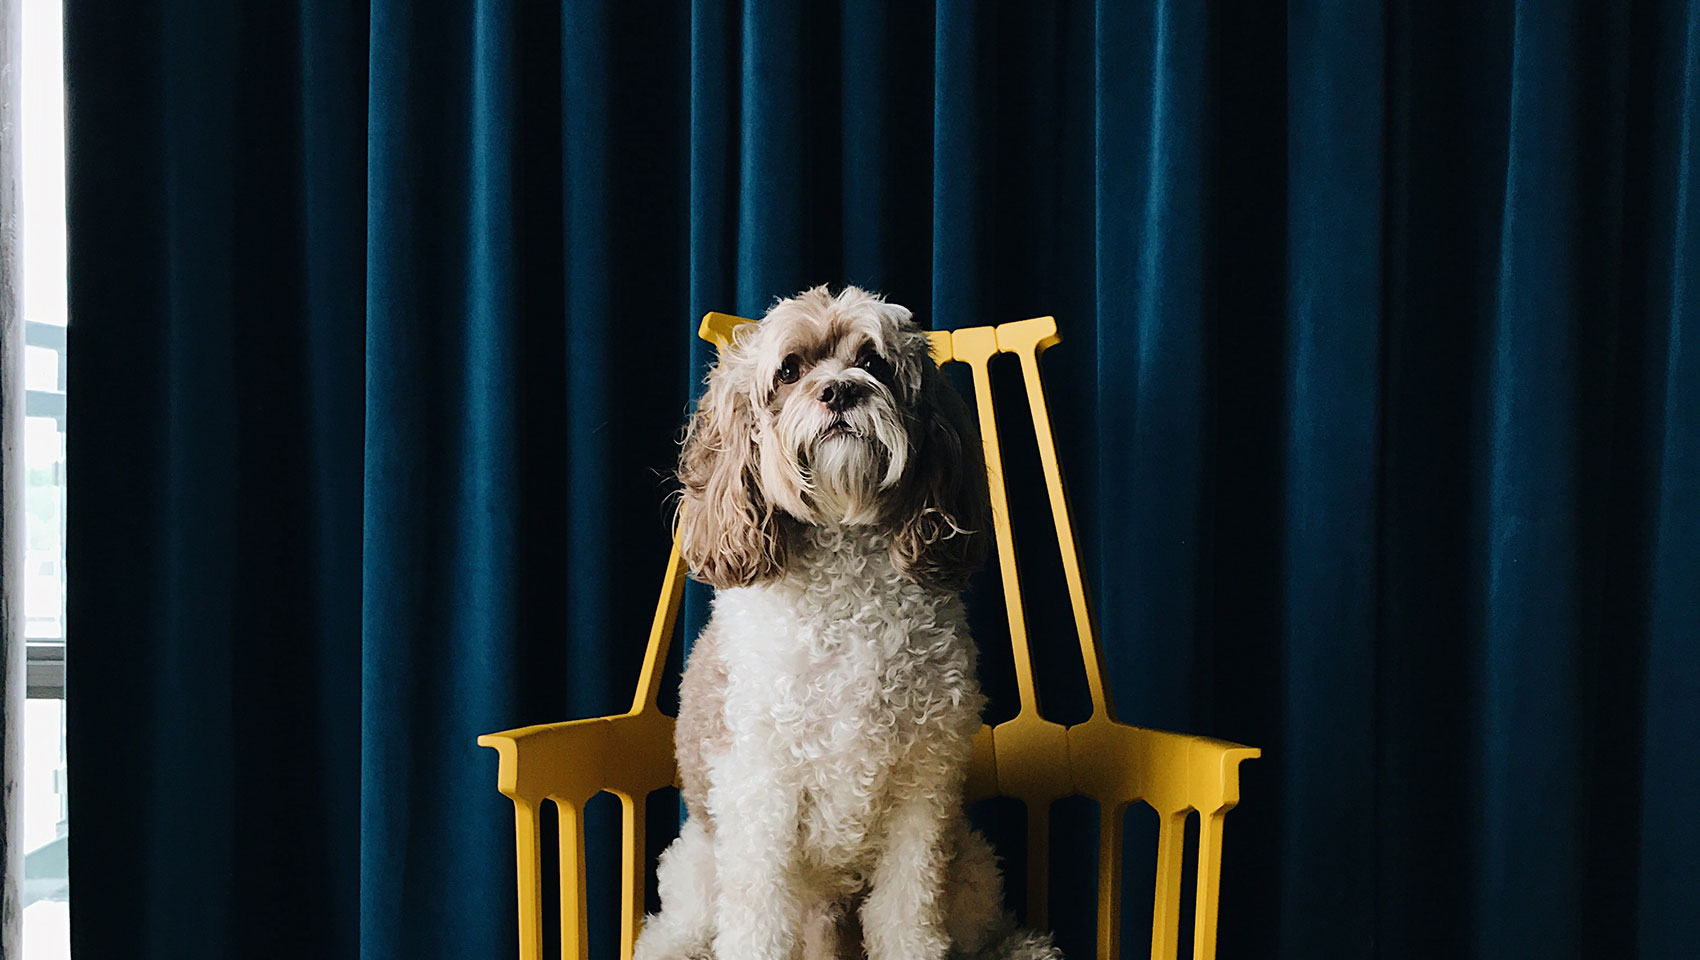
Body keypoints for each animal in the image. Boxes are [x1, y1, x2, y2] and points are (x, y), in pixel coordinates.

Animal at [635, 283, 1060, 958]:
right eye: (789, 370)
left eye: (874, 362)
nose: (839, 390)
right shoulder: (758, 790)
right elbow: (758, 920)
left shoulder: (923, 789)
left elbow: (907, 916)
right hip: (698, 874)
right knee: (672, 933)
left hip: (970, 867)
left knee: (979, 930)